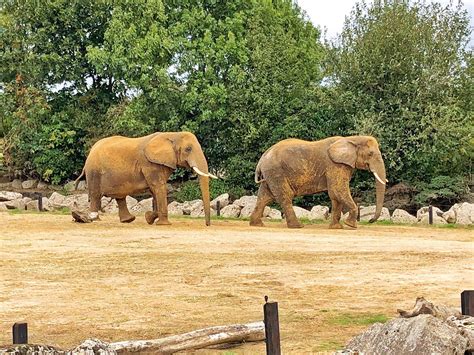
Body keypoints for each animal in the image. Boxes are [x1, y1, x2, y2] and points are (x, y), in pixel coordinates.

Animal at [74, 132, 217, 227]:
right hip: (94, 172)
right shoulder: (150, 164)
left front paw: (149, 218)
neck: (172, 135)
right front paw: (163, 224)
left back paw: (128, 220)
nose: (207, 225)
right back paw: (94, 219)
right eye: (188, 149)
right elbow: (158, 187)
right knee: (95, 195)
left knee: (120, 197)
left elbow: (155, 190)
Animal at [250, 135, 386, 229]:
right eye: (370, 154)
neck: (352, 138)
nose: (370, 220)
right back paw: (298, 226)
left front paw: (336, 228)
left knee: (264, 197)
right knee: (285, 196)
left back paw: (257, 224)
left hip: (271, 174)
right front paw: (350, 225)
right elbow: (338, 190)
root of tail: (262, 158)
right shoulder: (335, 165)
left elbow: (335, 195)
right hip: (276, 172)